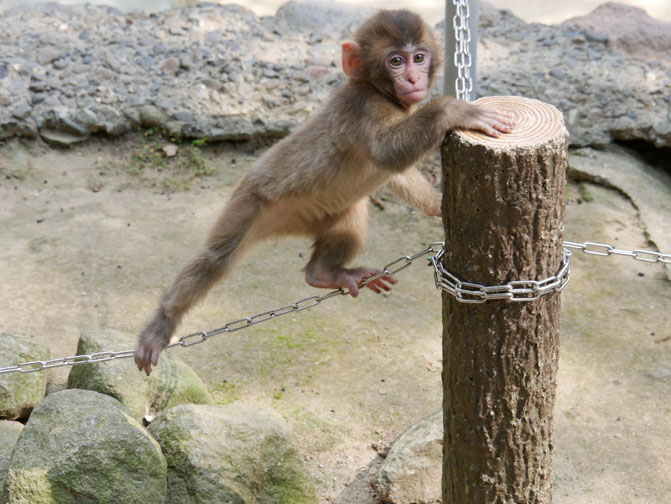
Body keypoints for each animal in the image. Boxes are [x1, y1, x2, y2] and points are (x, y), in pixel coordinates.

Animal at [134, 9, 514, 375]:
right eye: (396, 61)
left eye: (419, 57)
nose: (413, 79)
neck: (379, 91)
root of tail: (279, 225)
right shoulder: (364, 107)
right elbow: (388, 153)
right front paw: (455, 110)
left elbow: (395, 171)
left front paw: (437, 205)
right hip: (249, 203)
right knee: (216, 257)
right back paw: (162, 322)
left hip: (315, 213)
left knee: (351, 213)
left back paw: (323, 273)